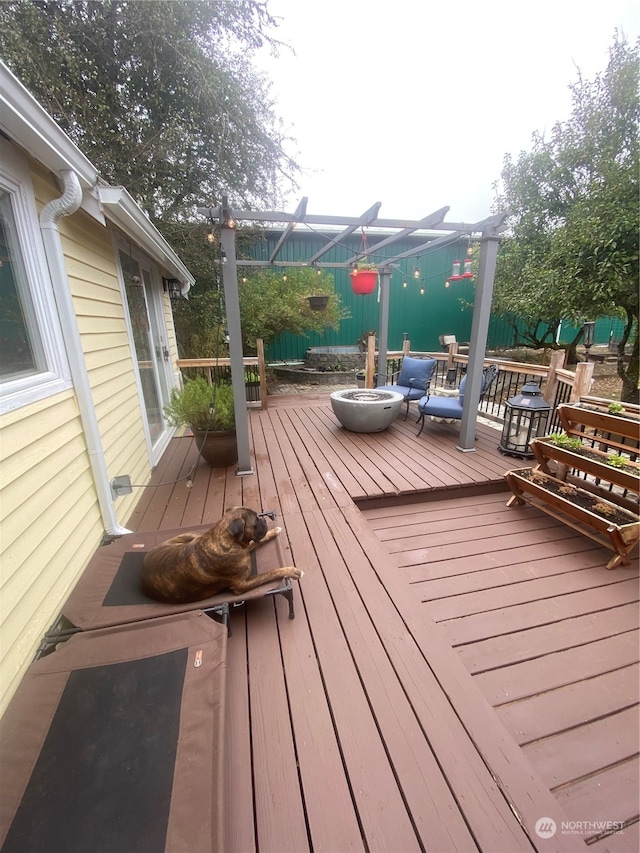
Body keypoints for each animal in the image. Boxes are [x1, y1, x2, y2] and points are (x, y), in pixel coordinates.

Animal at [139, 506, 302, 604]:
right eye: (255, 522)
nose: (263, 520)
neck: (226, 541)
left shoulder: (244, 548)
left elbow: (255, 542)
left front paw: (273, 531)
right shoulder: (241, 584)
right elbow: (271, 572)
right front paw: (292, 571)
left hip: (191, 536)